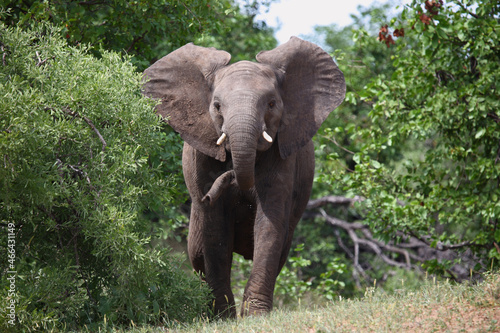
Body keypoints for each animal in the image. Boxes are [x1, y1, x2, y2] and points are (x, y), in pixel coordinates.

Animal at [141, 36, 344, 316]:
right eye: (217, 107)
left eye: (271, 104)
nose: (230, 177)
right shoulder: (201, 154)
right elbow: (215, 228)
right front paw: (222, 317)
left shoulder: (283, 157)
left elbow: (270, 223)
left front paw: (255, 315)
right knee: (197, 254)